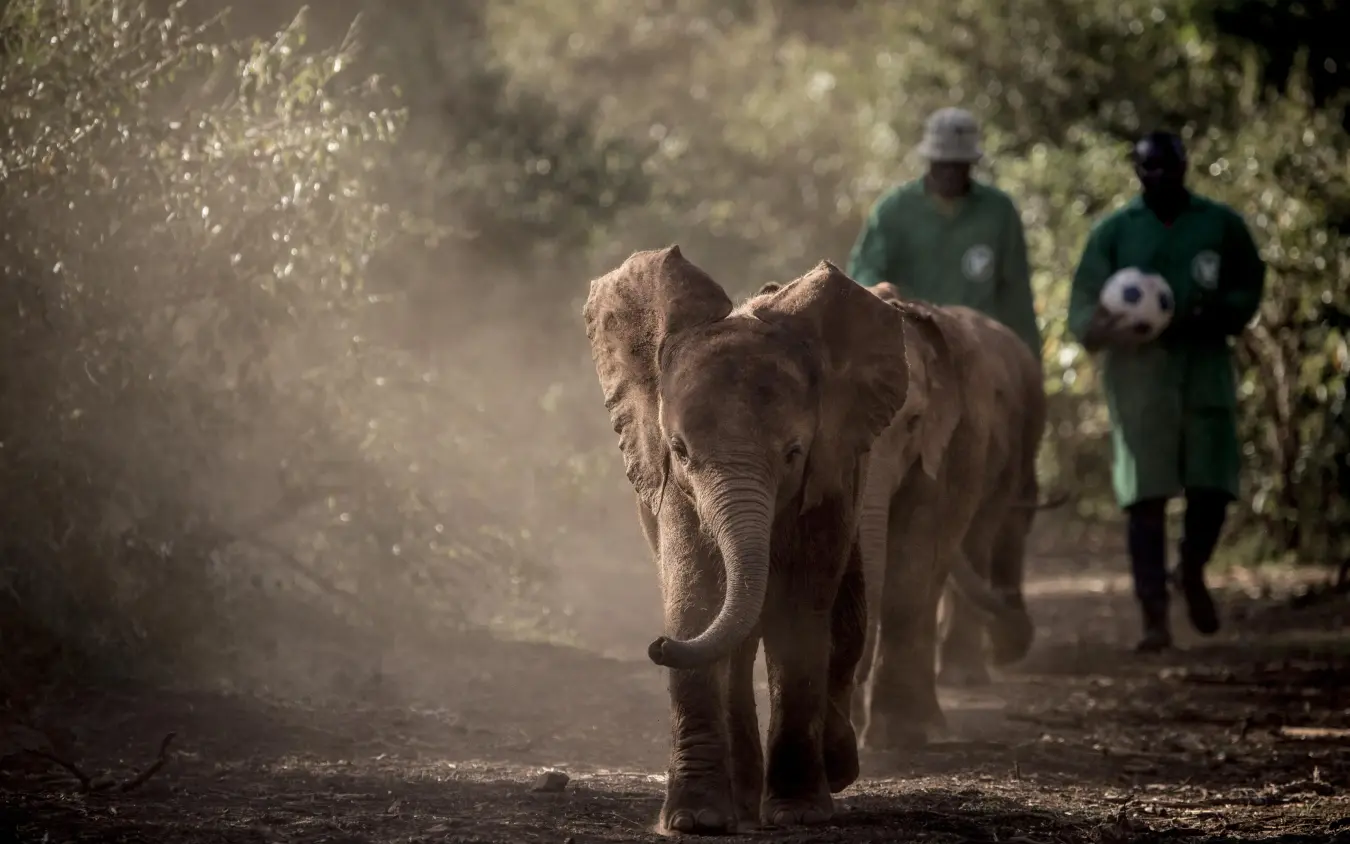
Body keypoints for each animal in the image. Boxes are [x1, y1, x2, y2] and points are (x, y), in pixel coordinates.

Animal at [581, 247, 913, 834]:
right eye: (679, 450)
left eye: (794, 453)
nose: (656, 646)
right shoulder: (672, 488)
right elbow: (695, 598)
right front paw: (694, 821)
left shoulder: (831, 474)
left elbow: (801, 617)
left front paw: (800, 814)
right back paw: (739, 802)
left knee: (846, 617)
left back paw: (831, 771)